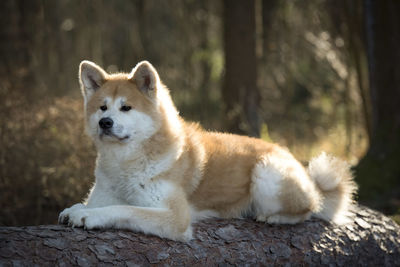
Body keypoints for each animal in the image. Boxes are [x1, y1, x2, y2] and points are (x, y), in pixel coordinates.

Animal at [58, 61, 356, 243]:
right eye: (102, 107)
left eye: (126, 108)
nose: (104, 123)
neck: (126, 163)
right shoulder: (103, 193)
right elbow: (94, 203)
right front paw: (75, 208)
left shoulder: (175, 217)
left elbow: (123, 208)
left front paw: (89, 216)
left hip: (266, 173)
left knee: (308, 209)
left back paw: (273, 216)